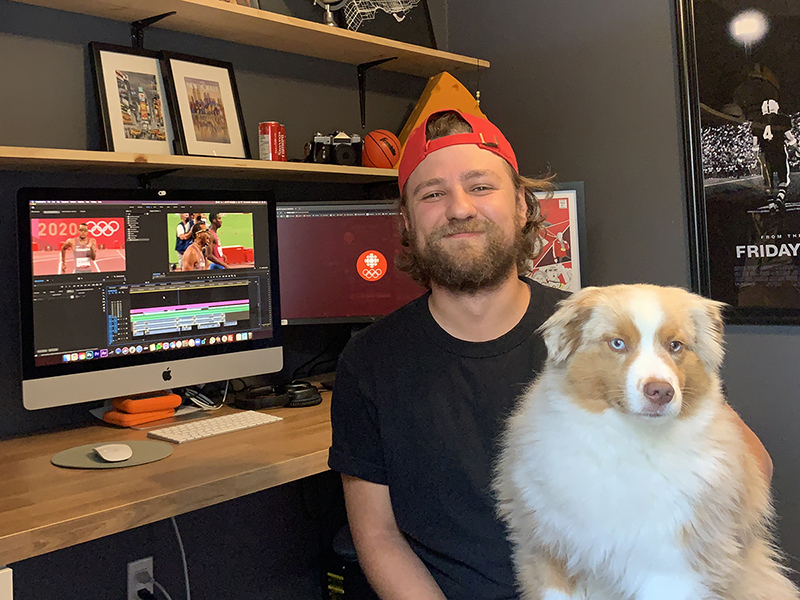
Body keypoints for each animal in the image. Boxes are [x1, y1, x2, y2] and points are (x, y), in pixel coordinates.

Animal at [494, 284, 800, 600]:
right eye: (617, 343)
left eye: (675, 345)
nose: (661, 392)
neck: (631, 442)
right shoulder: (548, 550)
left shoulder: (672, 565)